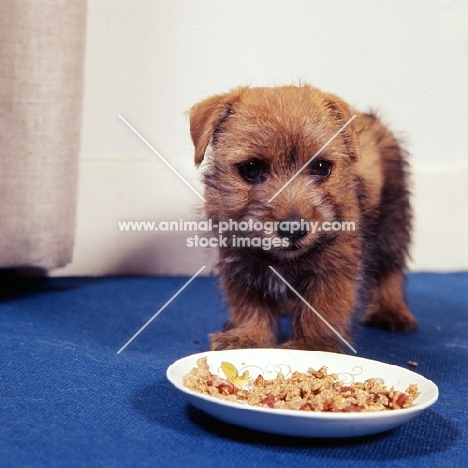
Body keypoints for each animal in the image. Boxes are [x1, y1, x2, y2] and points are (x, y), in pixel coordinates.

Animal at [189, 86, 416, 352]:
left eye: (321, 167)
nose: (293, 230)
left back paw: (391, 310)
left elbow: (321, 309)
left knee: (390, 268)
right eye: (251, 169)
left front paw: (308, 346)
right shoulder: (237, 260)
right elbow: (248, 303)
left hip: (393, 221)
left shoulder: (334, 266)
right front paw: (249, 337)